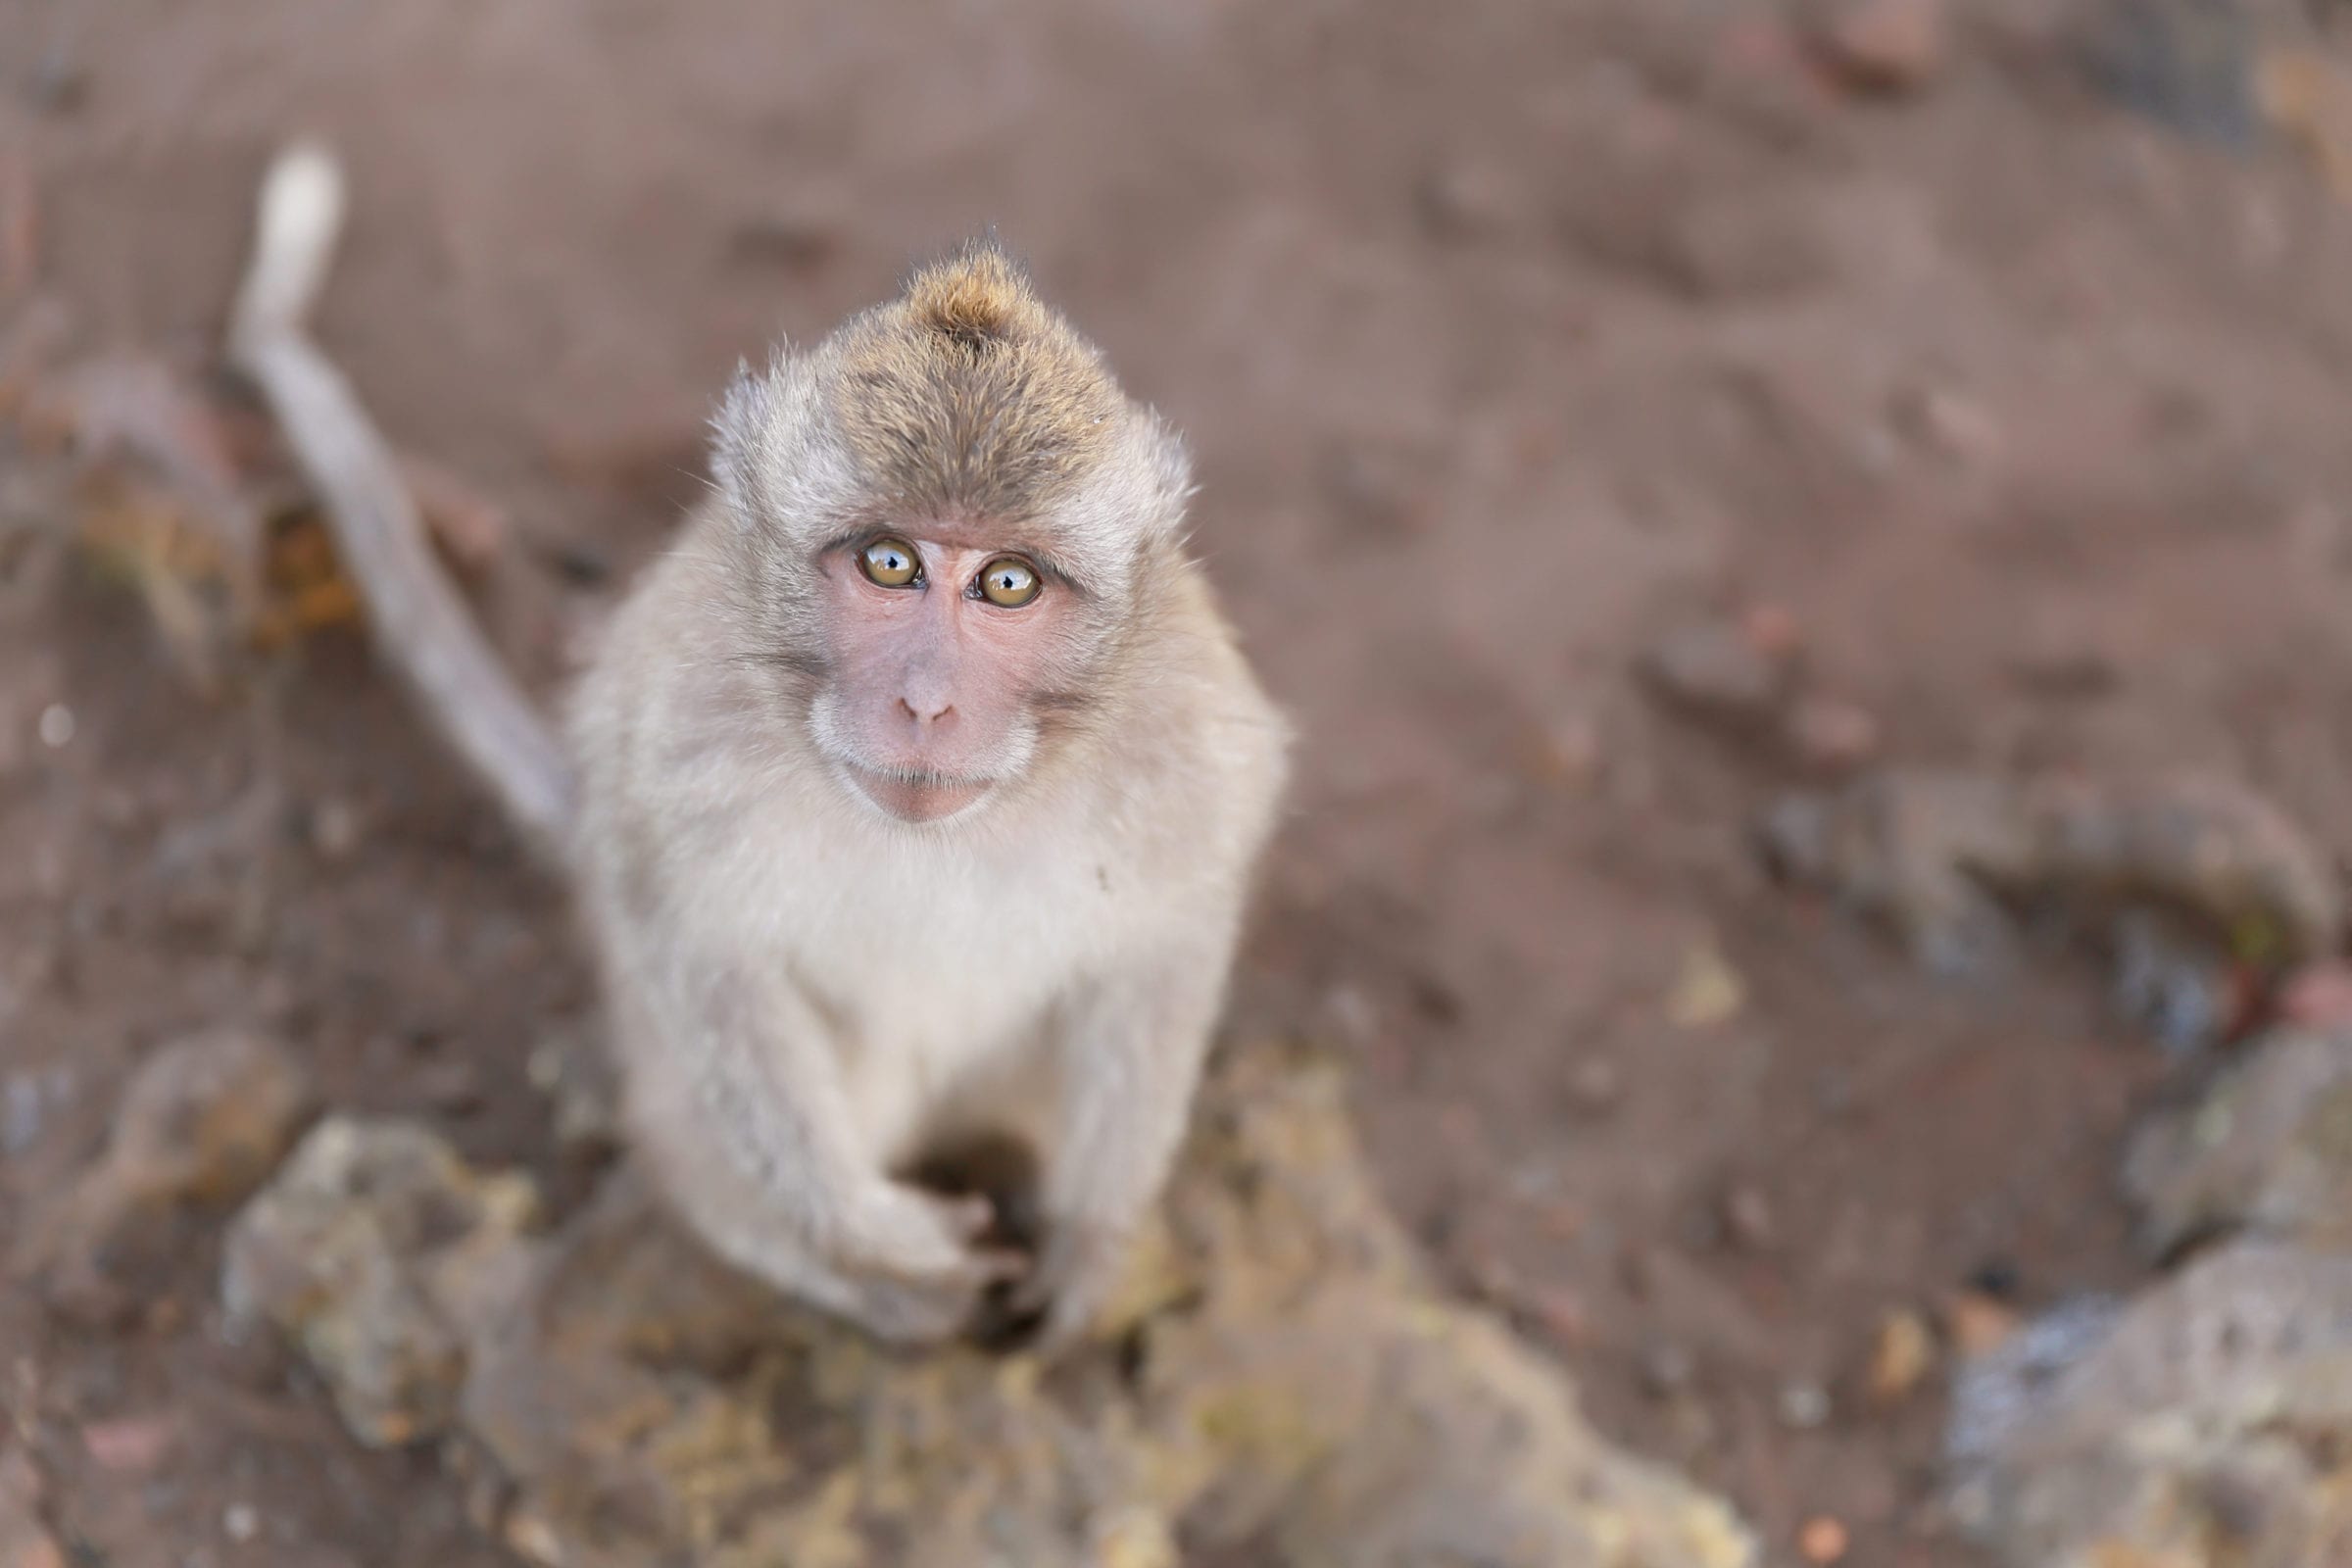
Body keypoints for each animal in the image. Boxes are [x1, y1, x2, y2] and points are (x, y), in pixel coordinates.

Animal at [229, 143, 1298, 1353]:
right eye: (889, 563)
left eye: (1007, 583)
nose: (927, 702)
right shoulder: (674, 737)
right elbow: (705, 951)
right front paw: (865, 1235)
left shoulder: (1186, 753)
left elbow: (1166, 950)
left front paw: (1094, 1241)